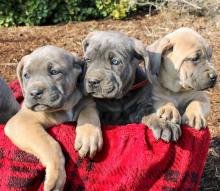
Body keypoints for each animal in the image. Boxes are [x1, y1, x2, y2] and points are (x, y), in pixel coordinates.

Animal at [4, 46, 102, 191]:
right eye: (26, 75)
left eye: (54, 72)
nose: (34, 93)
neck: (64, 107)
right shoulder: (21, 122)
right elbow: (50, 144)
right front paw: (56, 176)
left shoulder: (87, 102)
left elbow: (89, 114)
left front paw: (88, 137)